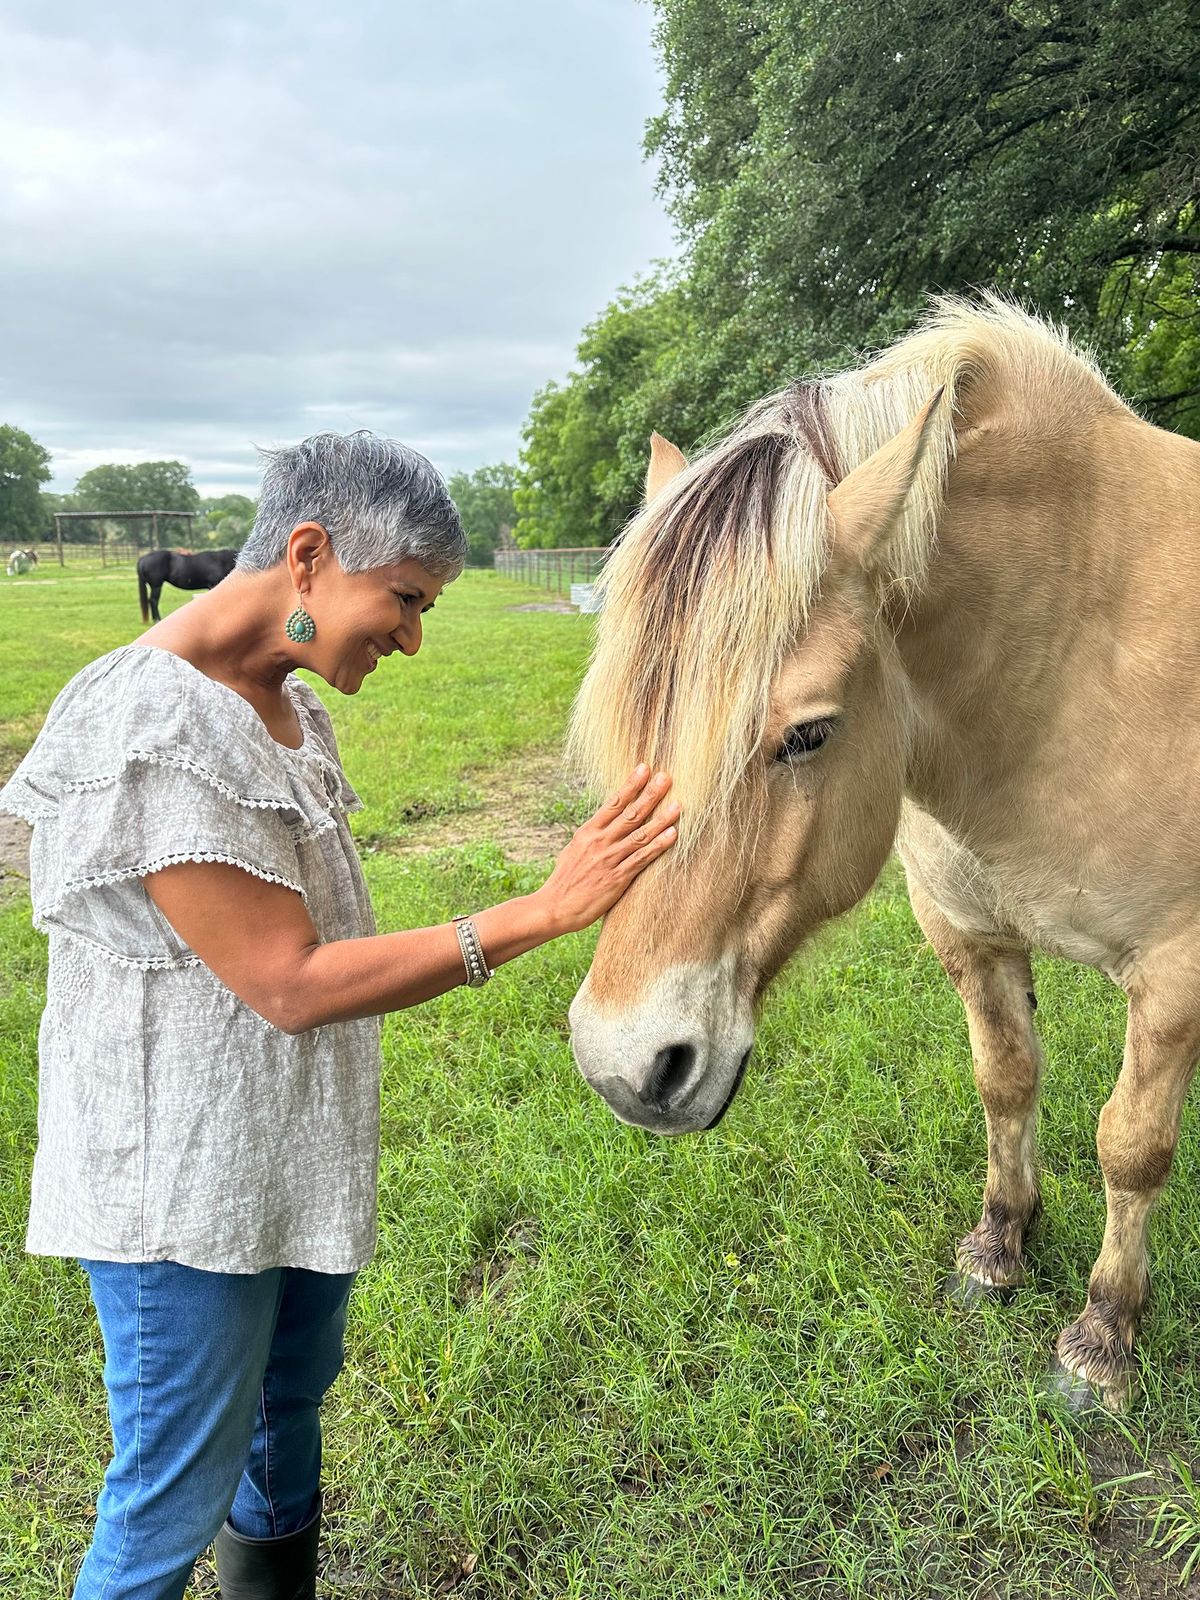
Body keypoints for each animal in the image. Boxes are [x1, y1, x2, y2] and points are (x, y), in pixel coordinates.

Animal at [569, 294, 1200, 1408]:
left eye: (809, 734)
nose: (622, 1065)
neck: (1067, 659)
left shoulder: (1173, 975)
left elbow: (1132, 1147)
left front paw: (1104, 1336)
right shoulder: (970, 937)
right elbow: (1007, 1079)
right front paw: (998, 1249)